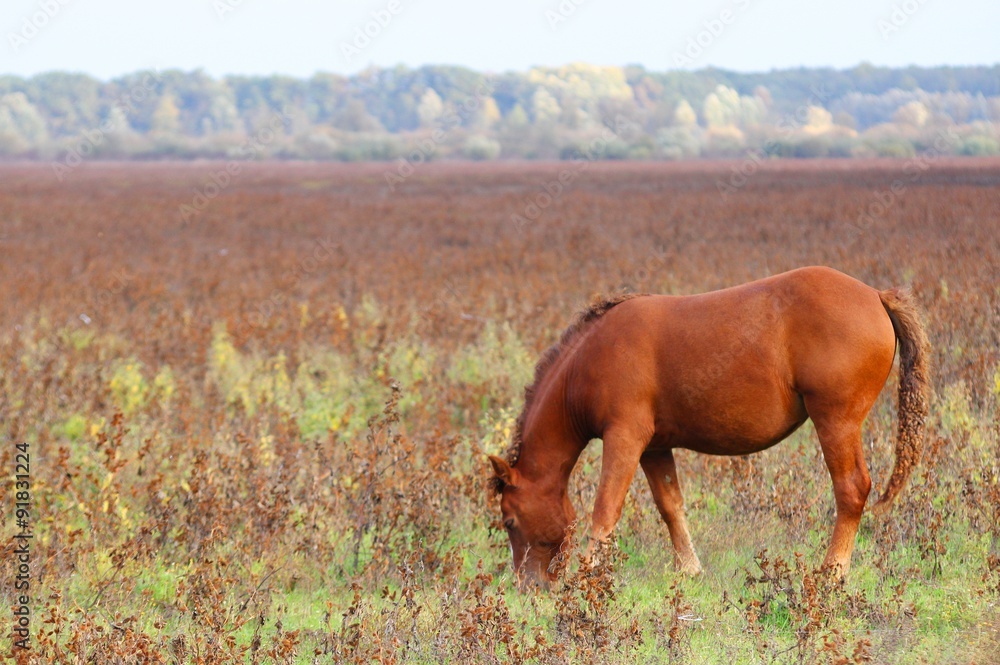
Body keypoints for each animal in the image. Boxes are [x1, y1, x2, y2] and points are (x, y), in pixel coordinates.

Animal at [489, 266, 929, 587]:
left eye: (509, 521)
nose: (528, 588)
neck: (589, 360)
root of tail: (876, 295)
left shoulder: (624, 439)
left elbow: (605, 510)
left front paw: (586, 578)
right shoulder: (653, 448)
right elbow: (671, 506)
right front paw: (690, 570)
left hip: (836, 422)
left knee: (851, 490)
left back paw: (831, 574)